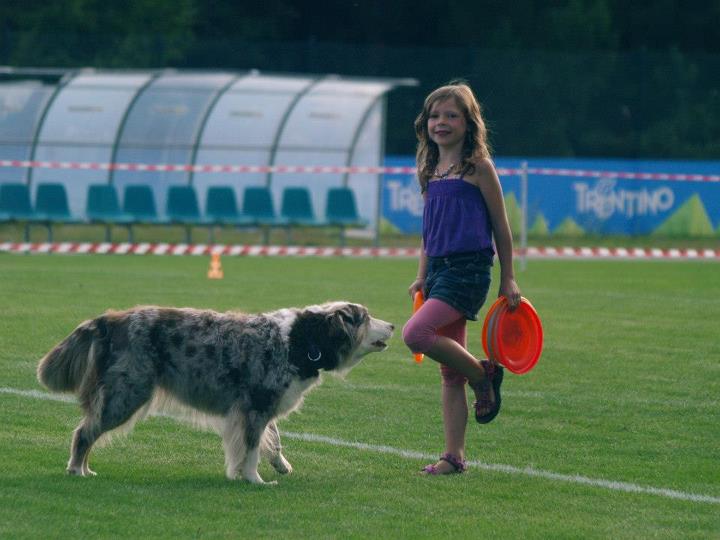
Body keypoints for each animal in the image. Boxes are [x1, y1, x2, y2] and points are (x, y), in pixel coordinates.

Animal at [36, 302, 394, 484]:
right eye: (365, 317)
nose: (392, 325)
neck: (302, 339)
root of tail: (109, 319)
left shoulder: (259, 405)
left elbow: (272, 438)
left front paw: (280, 464)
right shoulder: (255, 406)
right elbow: (251, 448)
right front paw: (254, 479)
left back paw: (84, 469)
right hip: (126, 394)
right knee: (85, 431)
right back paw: (76, 469)